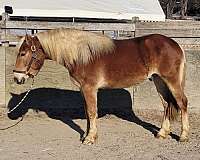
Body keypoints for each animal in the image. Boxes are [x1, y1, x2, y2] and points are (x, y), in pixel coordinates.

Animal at [12, 28, 189, 144]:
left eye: (23, 53)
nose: (17, 78)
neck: (81, 55)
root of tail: (175, 44)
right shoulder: (83, 90)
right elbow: (87, 112)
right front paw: (87, 136)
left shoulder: (89, 88)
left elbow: (91, 112)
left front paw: (90, 138)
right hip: (159, 80)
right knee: (166, 104)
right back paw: (162, 133)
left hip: (171, 80)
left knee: (182, 103)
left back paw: (183, 136)